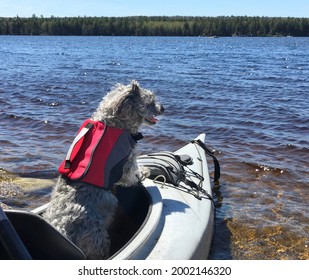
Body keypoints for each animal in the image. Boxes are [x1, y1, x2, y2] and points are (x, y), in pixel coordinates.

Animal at [44, 80, 164, 260]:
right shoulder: (128, 160)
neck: (114, 122)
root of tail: (61, 228)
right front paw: (143, 173)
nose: (163, 108)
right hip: (98, 238)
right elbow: (132, 174)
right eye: (150, 100)